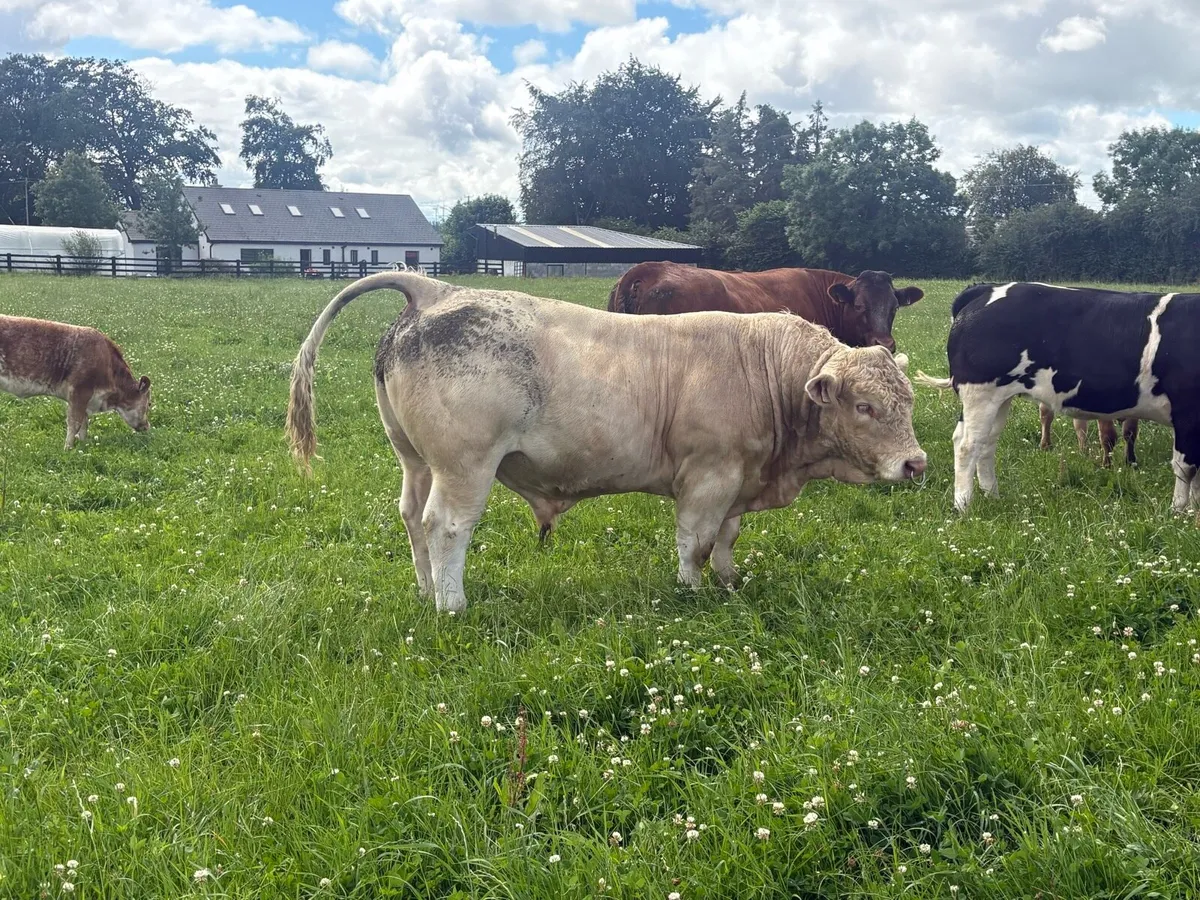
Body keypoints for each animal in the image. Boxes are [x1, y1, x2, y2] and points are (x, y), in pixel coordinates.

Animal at [0, 314, 152, 449]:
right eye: (149, 404)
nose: (147, 426)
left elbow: (84, 422)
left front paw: (83, 445)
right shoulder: (80, 392)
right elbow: (75, 422)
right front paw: (68, 448)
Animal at [287, 271, 927, 614]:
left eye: (908, 402)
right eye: (865, 407)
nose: (916, 463)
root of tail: (434, 290)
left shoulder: (739, 480)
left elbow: (726, 539)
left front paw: (729, 582)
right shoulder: (708, 476)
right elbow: (695, 542)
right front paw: (692, 591)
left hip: (415, 459)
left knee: (412, 517)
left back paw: (424, 592)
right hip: (464, 467)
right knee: (445, 526)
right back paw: (452, 603)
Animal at [915, 282, 1196, 513]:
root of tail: (986, 289)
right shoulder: (1187, 413)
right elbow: (1186, 466)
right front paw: (1179, 513)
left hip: (999, 399)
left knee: (986, 444)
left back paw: (992, 495)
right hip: (980, 393)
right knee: (966, 446)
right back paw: (963, 506)